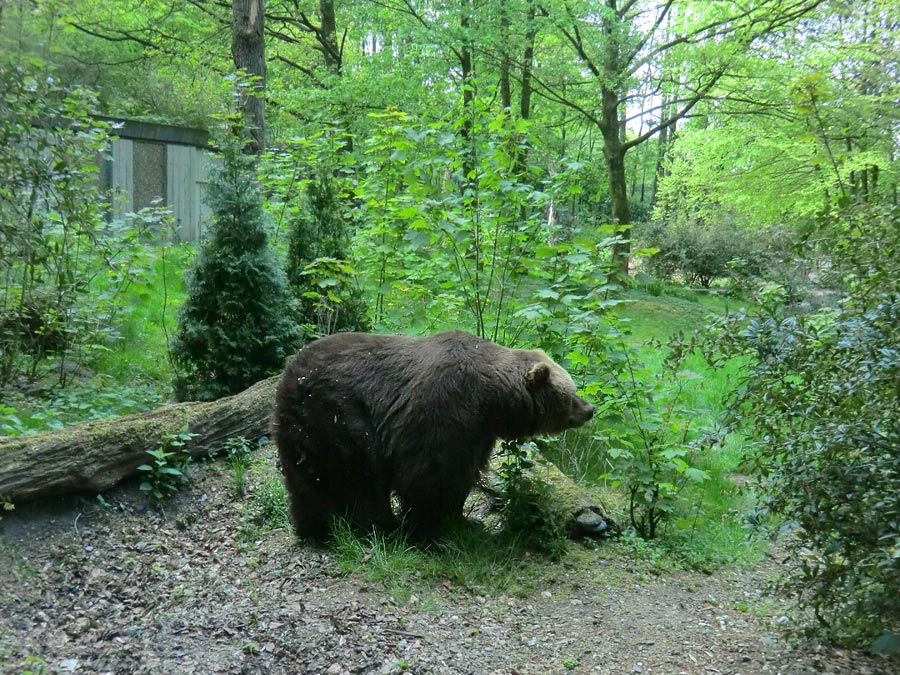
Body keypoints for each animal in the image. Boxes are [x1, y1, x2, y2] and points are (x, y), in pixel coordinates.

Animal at [274, 330, 596, 540]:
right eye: (571, 392)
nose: (589, 409)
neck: (491, 401)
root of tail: (289, 373)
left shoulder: (478, 432)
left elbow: (464, 473)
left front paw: (461, 520)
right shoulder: (444, 407)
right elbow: (429, 474)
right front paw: (429, 529)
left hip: (302, 429)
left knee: (308, 480)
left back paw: (313, 528)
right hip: (336, 413)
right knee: (356, 478)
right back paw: (379, 526)